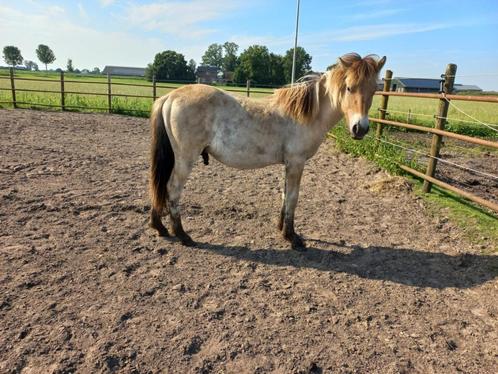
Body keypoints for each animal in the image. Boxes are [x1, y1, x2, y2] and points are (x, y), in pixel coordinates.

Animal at [148, 52, 386, 250]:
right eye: (349, 87)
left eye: (374, 90)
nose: (360, 128)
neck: (306, 114)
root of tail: (170, 97)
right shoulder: (297, 163)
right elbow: (292, 198)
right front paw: (292, 238)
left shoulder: (289, 164)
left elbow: (284, 195)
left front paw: (282, 229)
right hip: (185, 159)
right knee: (172, 189)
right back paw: (182, 235)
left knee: (160, 185)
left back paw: (160, 227)